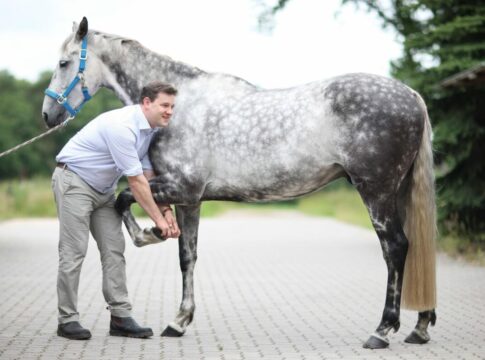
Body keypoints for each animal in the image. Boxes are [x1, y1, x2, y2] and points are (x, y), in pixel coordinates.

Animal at [40, 17, 434, 348]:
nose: (48, 114)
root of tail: (411, 96)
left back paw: (382, 331)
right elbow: (187, 256)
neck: (180, 106)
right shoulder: (190, 200)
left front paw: (148, 235)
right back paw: (419, 327)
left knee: (396, 247)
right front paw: (179, 322)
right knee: (412, 247)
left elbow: (124, 198)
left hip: (376, 192)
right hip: (396, 191)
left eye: (63, 63)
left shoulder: (181, 188)